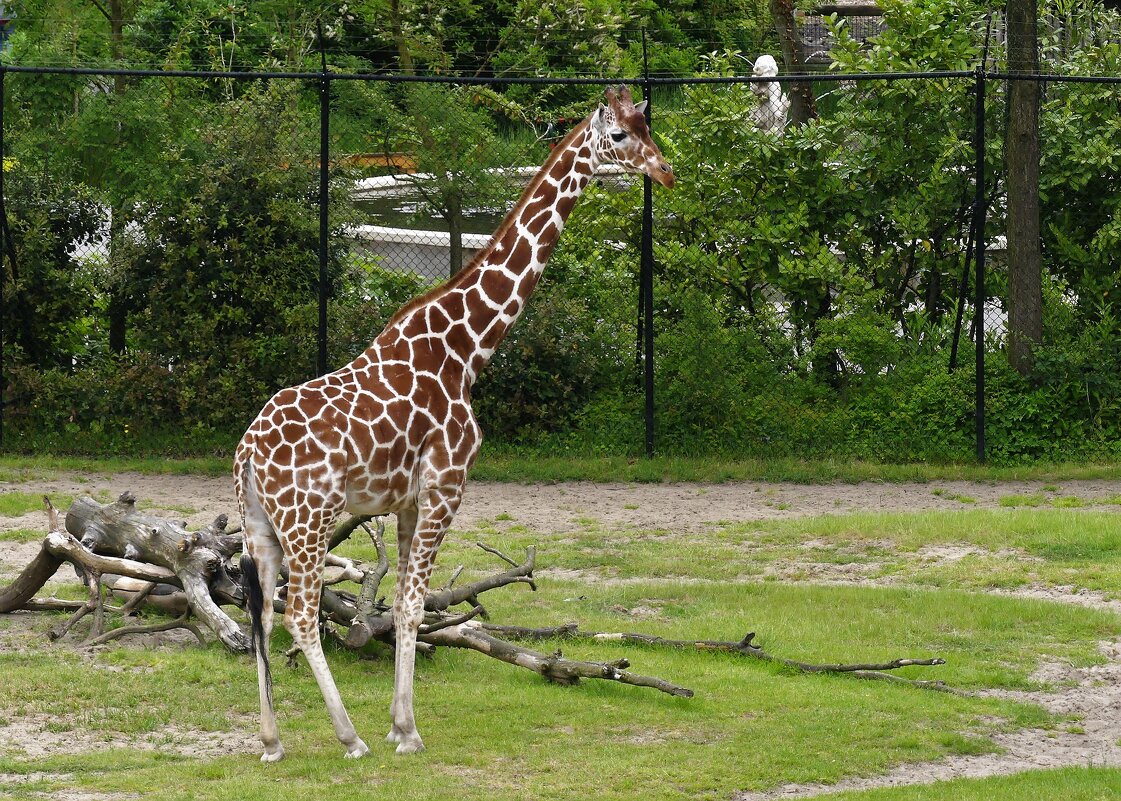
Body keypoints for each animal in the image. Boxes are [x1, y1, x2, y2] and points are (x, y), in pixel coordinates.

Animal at [234, 82, 672, 766]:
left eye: (648, 124)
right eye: (621, 135)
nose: (665, 171)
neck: (467, 350)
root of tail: (247, 452)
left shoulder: (410, 499)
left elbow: (403, 607)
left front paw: (399, 724)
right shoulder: (447, 485)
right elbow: (414, 607)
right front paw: (405, 733)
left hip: (261, 526)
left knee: (257, 612)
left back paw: (273, 741)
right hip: (309, 520)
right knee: (298, 615)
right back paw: (349, 737)